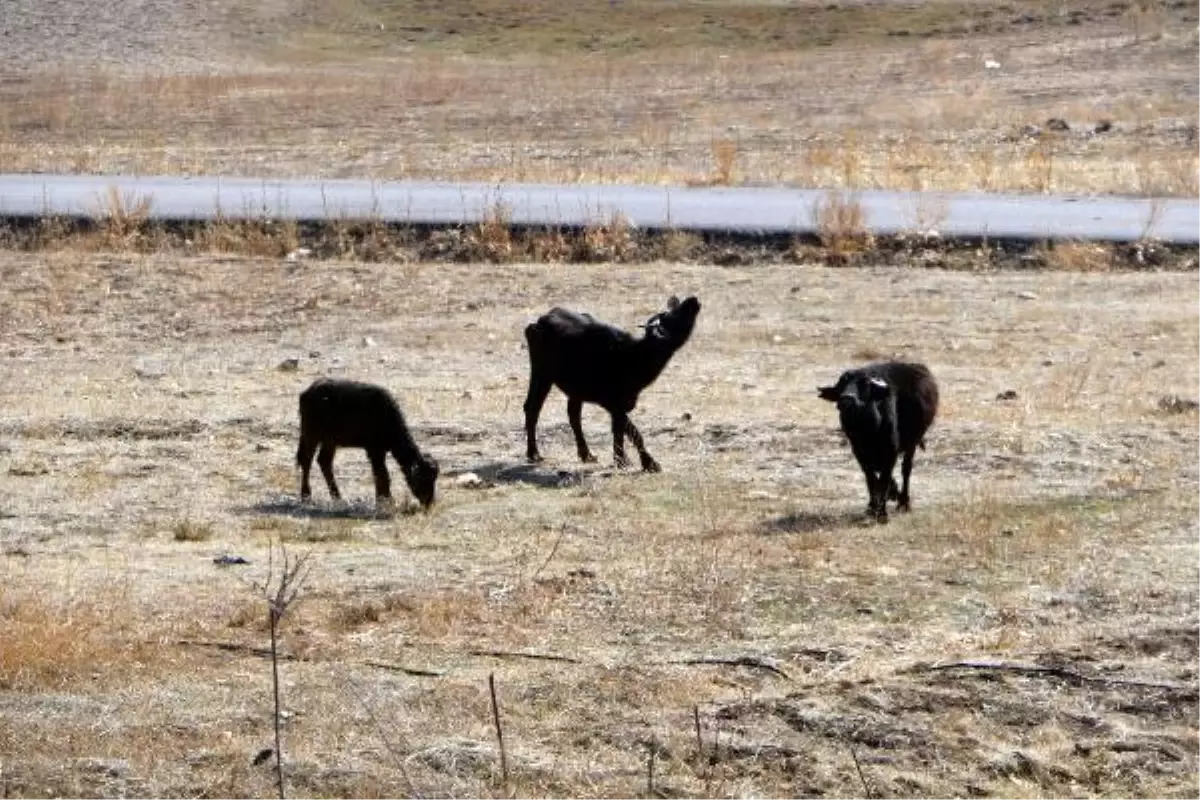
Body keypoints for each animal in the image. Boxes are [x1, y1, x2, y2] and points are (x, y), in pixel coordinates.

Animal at [296, 379, 441, 510]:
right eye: (423, 478)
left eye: (434, 478)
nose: (429, 502)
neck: (386, 417)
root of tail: (307, 392)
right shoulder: (374, 451)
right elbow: (382, 475)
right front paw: (386, 500)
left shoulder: (379, 451)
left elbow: (380, 474)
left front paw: (382, 498)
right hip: (311, 435)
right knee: (307, 461)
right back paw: (306, 495)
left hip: (330, 440)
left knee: (324, 461)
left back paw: (337, 496)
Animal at [520, 293, 700, 470]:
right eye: (672, 316)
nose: (693, 299)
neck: (633, 356)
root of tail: (541, 320)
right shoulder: (612, 403)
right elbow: (634, 433)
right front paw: (648, 463)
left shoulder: (619, 405)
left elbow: (619, 431)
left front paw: (621, 460)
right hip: (541, 373)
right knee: (532, 407)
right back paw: (534, 454)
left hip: (575, 388)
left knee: (573, 414)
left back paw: (586, 454)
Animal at [820, 362, 940, 525]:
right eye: (841, 386)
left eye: (864, 385)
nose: (847, 399)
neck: (869, 431)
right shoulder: (859, 453)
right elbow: (871, 480)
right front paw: (872, 508)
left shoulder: (891, 452)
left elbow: (883, 481)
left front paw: (882, 513)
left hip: (912, 443)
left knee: (906, 469)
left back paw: (904, 503)